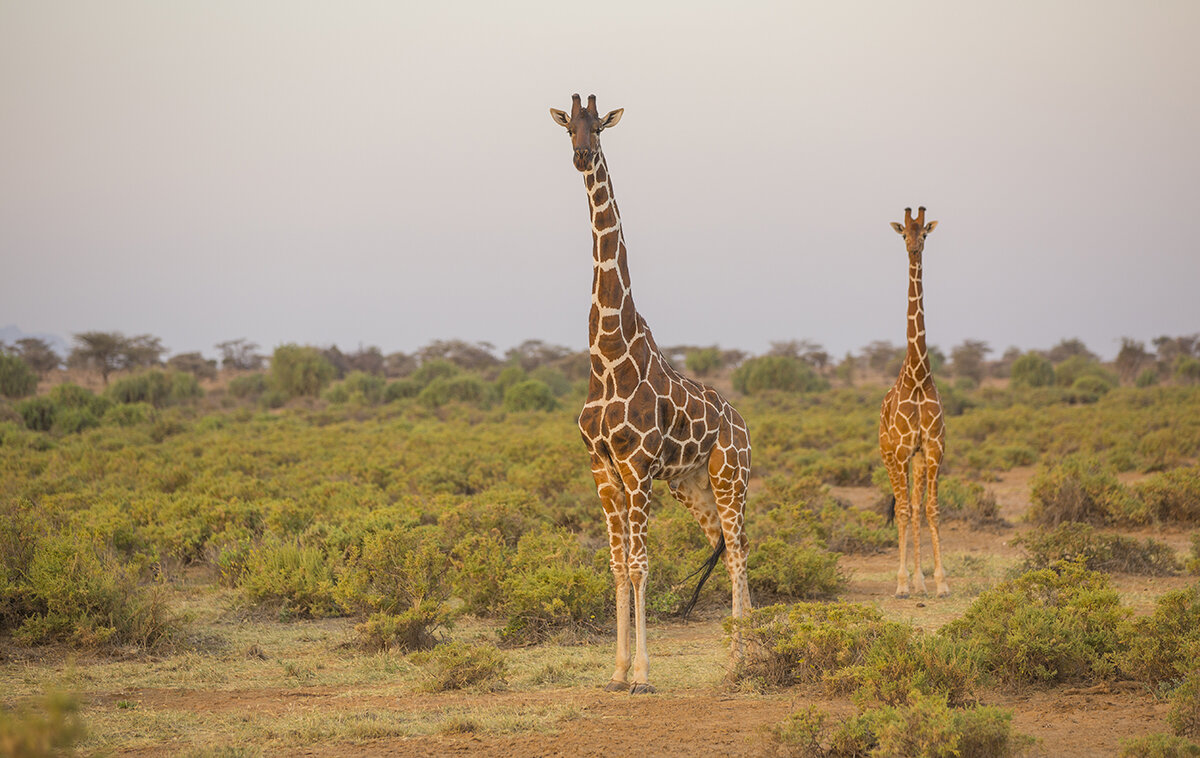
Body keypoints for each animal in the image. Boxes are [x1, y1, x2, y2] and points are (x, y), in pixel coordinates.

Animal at [549, 93, 748, 690]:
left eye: (599, 127)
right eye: (568, 127)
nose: (582, 157)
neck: (609, 357)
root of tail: (743, 423)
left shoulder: (637, 468)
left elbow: (640, 565)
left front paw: (641, 673)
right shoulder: (603, 468)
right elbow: (617, 565)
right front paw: (615, 672)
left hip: (730, 477)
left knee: (739, 551)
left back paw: (743, 660)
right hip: (692, 486)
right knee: (724, 545)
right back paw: (737, 656)